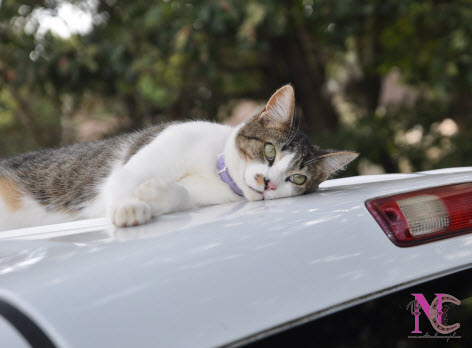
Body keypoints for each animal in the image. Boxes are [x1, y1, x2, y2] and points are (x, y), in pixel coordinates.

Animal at [0, 85, 358, 231]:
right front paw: (129, 209)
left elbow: (181, 195)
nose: (268, 183)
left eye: (297, 178)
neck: (213, 167)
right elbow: (124, 181)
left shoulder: (203, 196)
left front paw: (155, 193)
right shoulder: (148, 155)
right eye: (270, 151)